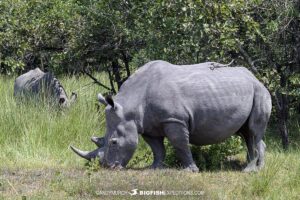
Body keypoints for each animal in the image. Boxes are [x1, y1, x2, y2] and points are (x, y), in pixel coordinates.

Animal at [71, 59, 272, 172]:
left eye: (113, 142)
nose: (107, 167)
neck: (129, 105)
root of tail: (255, 78)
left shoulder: (174, 119)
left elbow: (180, 144)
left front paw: (190, 170)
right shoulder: (147, 125)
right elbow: (157, 148)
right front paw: (154, 168)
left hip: (260, 92)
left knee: (253, 132)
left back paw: (249, 171)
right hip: (249, 91)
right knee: (247, 133)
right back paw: (257, 169)